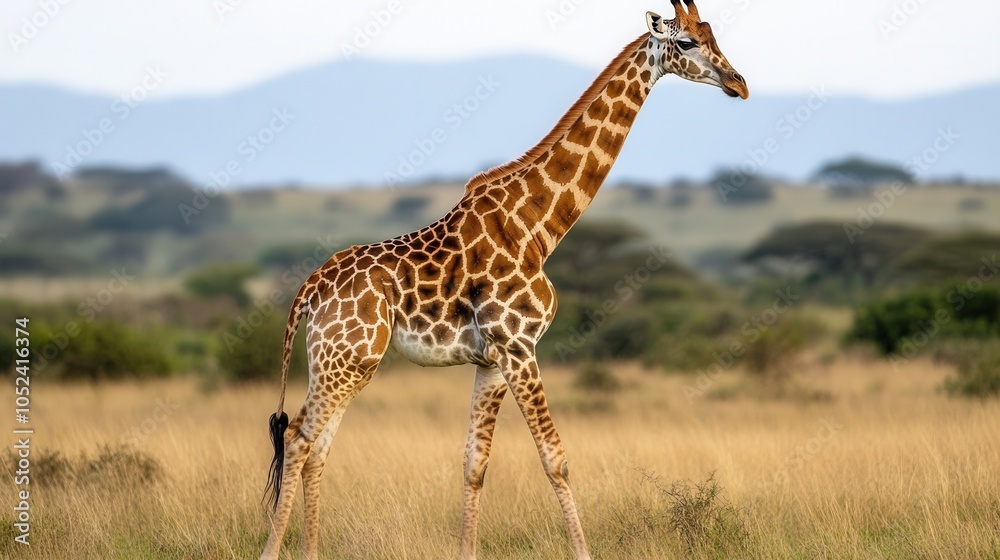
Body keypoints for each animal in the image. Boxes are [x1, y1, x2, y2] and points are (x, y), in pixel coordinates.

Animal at [259, 2, 747, 559]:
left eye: (713, 34)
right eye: (686, 42)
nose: (739, 84)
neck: (538, 225)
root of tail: (309, 289)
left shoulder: (491, 360)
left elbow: (475, 464)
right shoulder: (519, 346)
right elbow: (556, 458)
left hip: (345, 363)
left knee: (316, 445)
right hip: (345, 359)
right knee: (299, 438)